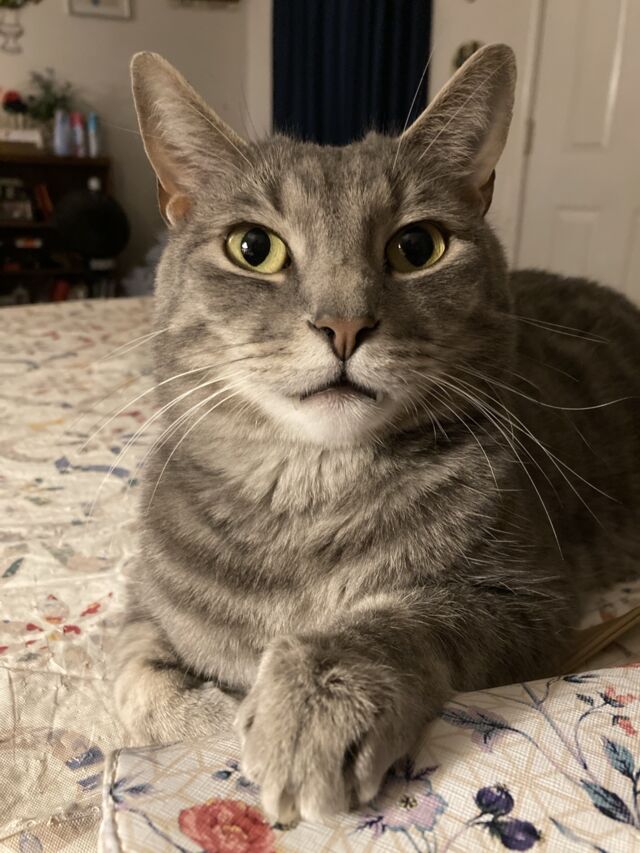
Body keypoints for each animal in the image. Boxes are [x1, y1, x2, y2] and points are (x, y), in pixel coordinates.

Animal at [114, 44, 640, 823]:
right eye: (253, 247)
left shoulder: (528, 600)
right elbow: (139, 679)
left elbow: (400, 617)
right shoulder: (141, 602)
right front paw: (218, 711)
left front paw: (306, 704)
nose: (344, 323)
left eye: (417, 246)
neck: (308, 498)